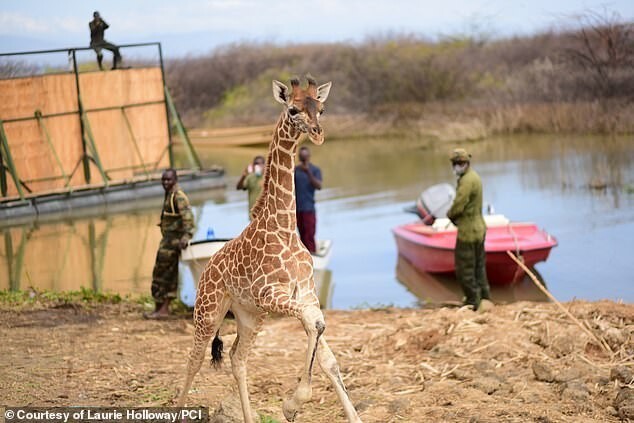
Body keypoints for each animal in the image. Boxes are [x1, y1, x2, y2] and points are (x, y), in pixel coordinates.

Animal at [175, 77, 360, 423]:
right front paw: (293, 404)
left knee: (237, 358)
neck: (285, 227)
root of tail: (205, 269)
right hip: (208, 311)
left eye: (321, 108)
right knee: (194, 359)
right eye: (293, 109)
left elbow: (323, 342)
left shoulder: (305, 293)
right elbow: (314, 324)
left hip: (250, 316)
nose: (318, 133)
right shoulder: (269, 293)